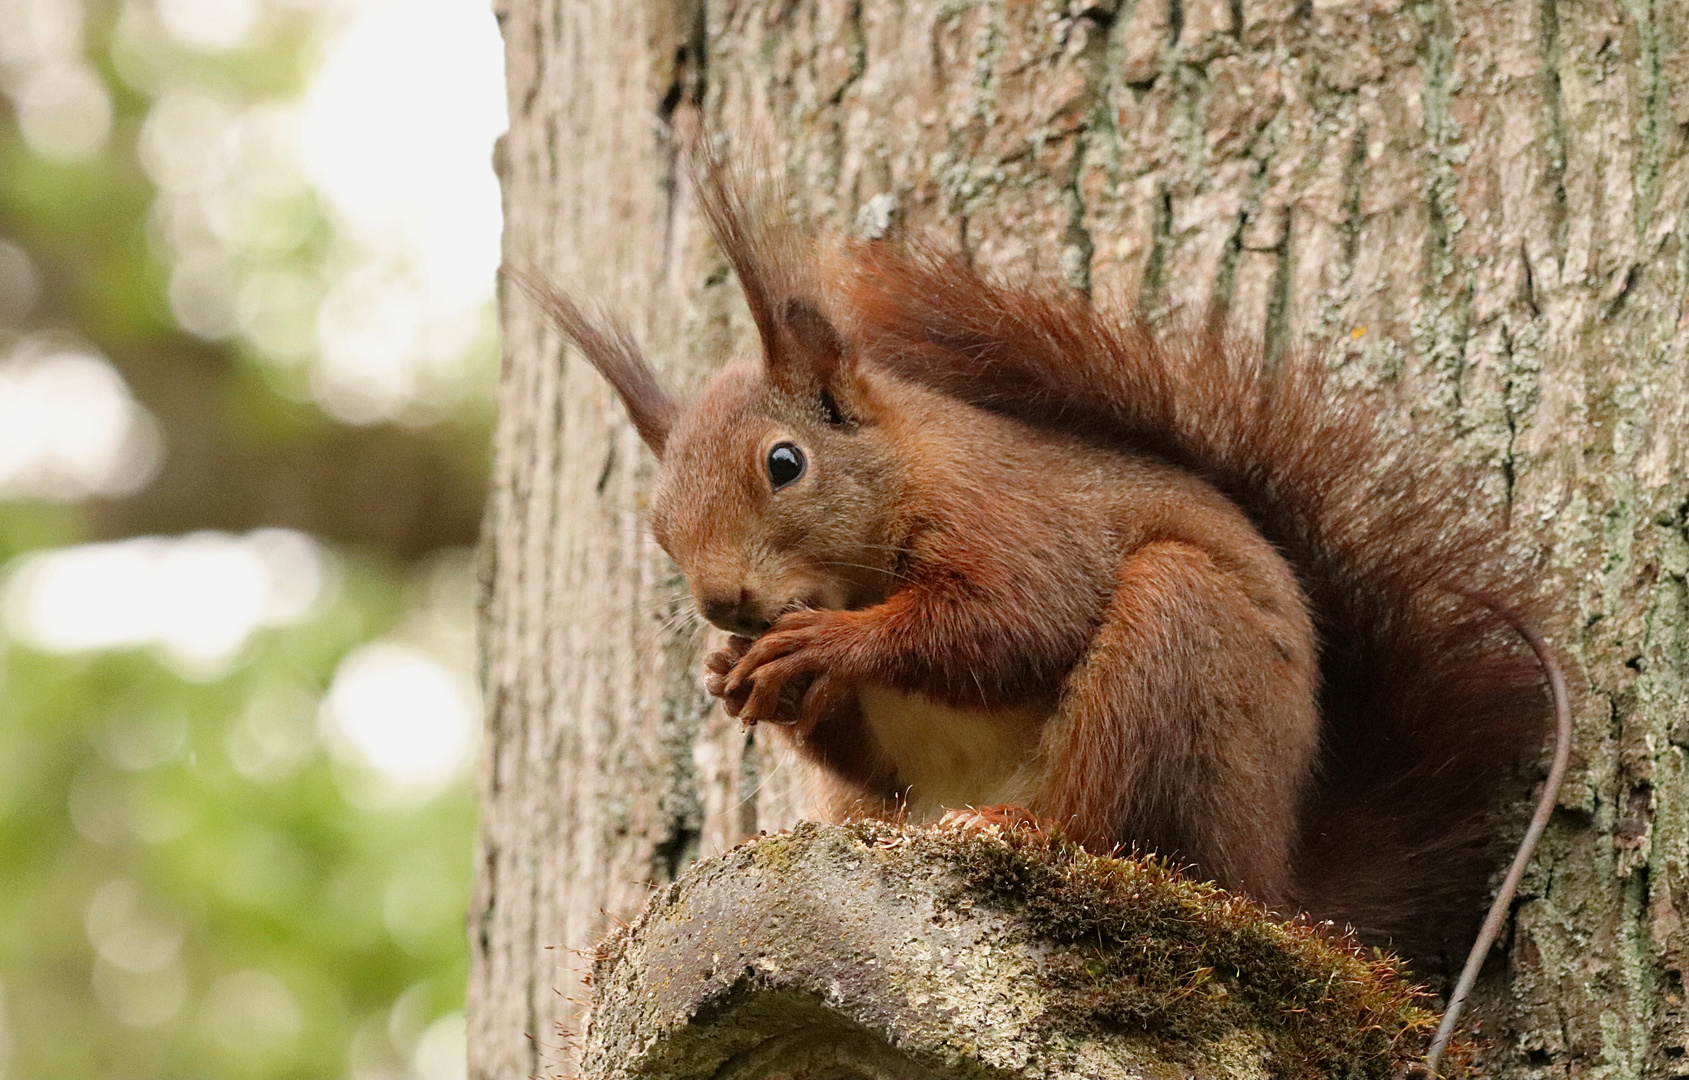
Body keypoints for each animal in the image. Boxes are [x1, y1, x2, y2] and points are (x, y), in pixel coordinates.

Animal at [510, 158, 1553, 960]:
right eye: (655, 525)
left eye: (783, 463)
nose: (722, 602)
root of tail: (1274, 872)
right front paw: (731, 672)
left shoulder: (1014, 522)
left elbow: (1011, 623)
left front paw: (826, 646)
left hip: (1177, 648)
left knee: (1109, 826)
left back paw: (1020, 826)